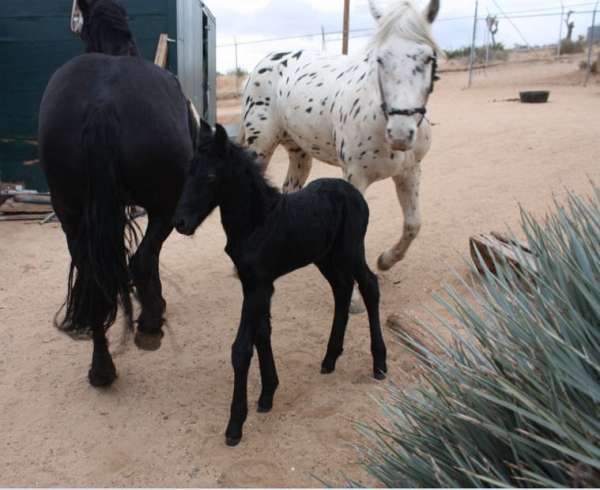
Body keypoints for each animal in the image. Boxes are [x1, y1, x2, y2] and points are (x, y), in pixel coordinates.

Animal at [173, 123, 390, 448]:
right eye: (188, 171)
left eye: (211, 176)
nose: (181, 223)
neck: (256, 223)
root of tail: (352, 191)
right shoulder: (255, 284)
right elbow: (263, 333)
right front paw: (267, 395)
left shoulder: (258, 286)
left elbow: (241, 349)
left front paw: (235, 425)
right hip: (325, 257)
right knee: (341, 290)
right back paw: (329, 358)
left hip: (350, 250)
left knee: (369, 286)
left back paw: (379, 364)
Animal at [238, 0, 440, 312]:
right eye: (380, 60)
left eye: (428, 58)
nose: (400, 133)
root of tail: (267, 59)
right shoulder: (355, 178)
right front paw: (355, 298)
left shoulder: (410, 172)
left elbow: (413, 224)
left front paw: (385, 260)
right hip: (260, 146)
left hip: (300, 153)